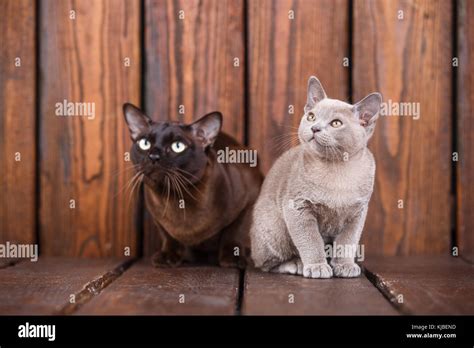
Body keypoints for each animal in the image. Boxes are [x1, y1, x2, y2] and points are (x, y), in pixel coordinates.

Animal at [122, 102, 262, 268]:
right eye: (145, 144)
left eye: (177, 146)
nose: (153, 156)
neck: (176, 197)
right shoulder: (157, 216)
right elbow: (169, 236)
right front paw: (167, 257)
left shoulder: (251, 198)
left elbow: (235, 232)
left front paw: (232, 260)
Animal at [252, 77, 382, 278]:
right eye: (311, 117)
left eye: (336, 123)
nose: (315, 128)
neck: (336, 170)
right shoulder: (297, 207)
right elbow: (311, 241)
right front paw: (317, 266)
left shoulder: (357, 213)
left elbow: (347, 242)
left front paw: (344, 265)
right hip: (274, 228)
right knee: (266, 264)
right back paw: (295, 264)